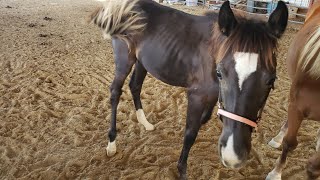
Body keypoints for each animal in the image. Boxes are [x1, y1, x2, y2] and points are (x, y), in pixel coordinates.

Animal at [89, 0, 288, 178]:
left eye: (271, 80)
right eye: (220, 73)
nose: (233, 156)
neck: (213, 52)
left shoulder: (212, 97)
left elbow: (204, 120)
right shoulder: (196, 96)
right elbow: (190, 133)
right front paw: (181, 169)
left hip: (141, 62)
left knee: (135, 86)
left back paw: (145, 123)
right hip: (125, 59)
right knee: (115, 92)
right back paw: (112, 143)